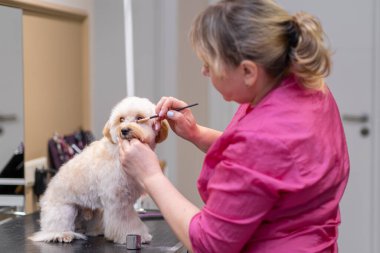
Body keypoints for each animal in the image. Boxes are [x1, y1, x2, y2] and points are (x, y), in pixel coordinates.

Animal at [28, 96, 168, 243]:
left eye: (139, 118)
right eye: (121, 119)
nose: (124, 130)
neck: (118, 153)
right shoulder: (118, 201)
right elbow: (127, 221)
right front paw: (134, 234)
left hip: (94, 211)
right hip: (65, 211)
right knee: (50, 231)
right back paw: (62, 234)